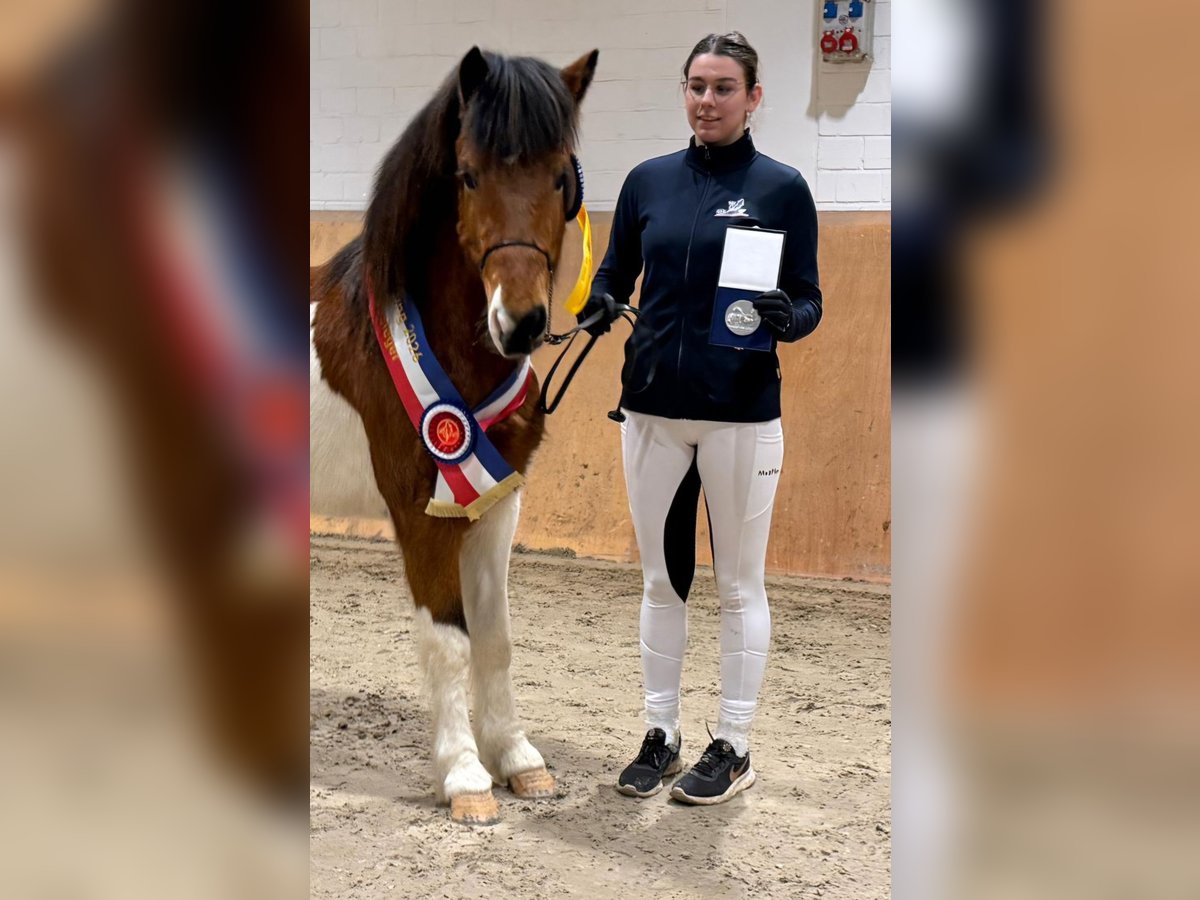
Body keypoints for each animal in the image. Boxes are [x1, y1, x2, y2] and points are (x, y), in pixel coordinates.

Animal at [310, 46, 598, 825]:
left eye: (559, 176)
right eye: (468, 174)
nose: (521, 322)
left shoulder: (496, 506)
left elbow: (494, 638)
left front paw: (519, 761)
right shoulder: (422, 515)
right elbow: (447, 642)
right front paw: (466, 777)